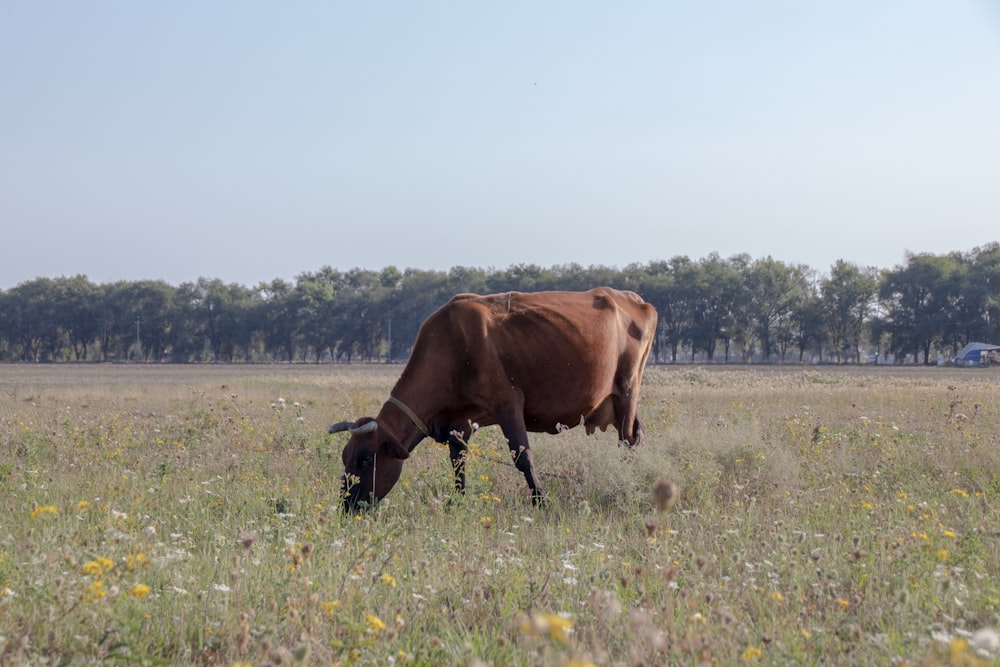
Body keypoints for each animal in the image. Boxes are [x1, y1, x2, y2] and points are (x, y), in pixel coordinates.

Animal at [328, 288, 656, 512]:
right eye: (345, 456)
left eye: (366, 458)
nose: (347, 506)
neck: (451, 348)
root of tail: (629, 297)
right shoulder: (459, 420)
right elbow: (458, 462)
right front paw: (458, 502)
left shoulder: (508, 404)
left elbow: (523, 456)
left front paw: (542, 502)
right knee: (635, 437)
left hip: (627, 390)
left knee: (627, 442)